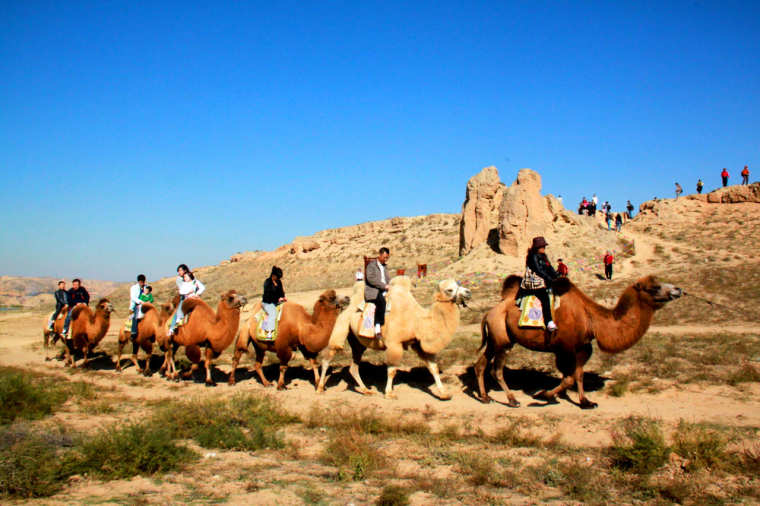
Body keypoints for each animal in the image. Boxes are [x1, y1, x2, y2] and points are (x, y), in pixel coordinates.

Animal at [314, 276, 470, 400]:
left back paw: (366, 390)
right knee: (328, 357)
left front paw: (444, 393)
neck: (417, 320)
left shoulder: (418, 343)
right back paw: (320, 388)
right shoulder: (394, 343)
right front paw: (389, 393)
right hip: (341, 326)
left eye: (458, 284)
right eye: (449, 290)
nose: (468, 292)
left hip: (357, 342)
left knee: (354, 366)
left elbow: (434, 368)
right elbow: (392, 370)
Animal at [476, 274, 684, 410]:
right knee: (496, 370)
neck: (592, 320)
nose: (678, 289)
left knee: (481, 364)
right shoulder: (565, 348)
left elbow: (578, 375)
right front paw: (542, 395)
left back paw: (485, 397)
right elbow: (568, 378)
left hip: (495, 339)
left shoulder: (583, 347)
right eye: (654, 287)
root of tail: (489, 312)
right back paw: (512, 400)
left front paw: (586, 402)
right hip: (502, 340)